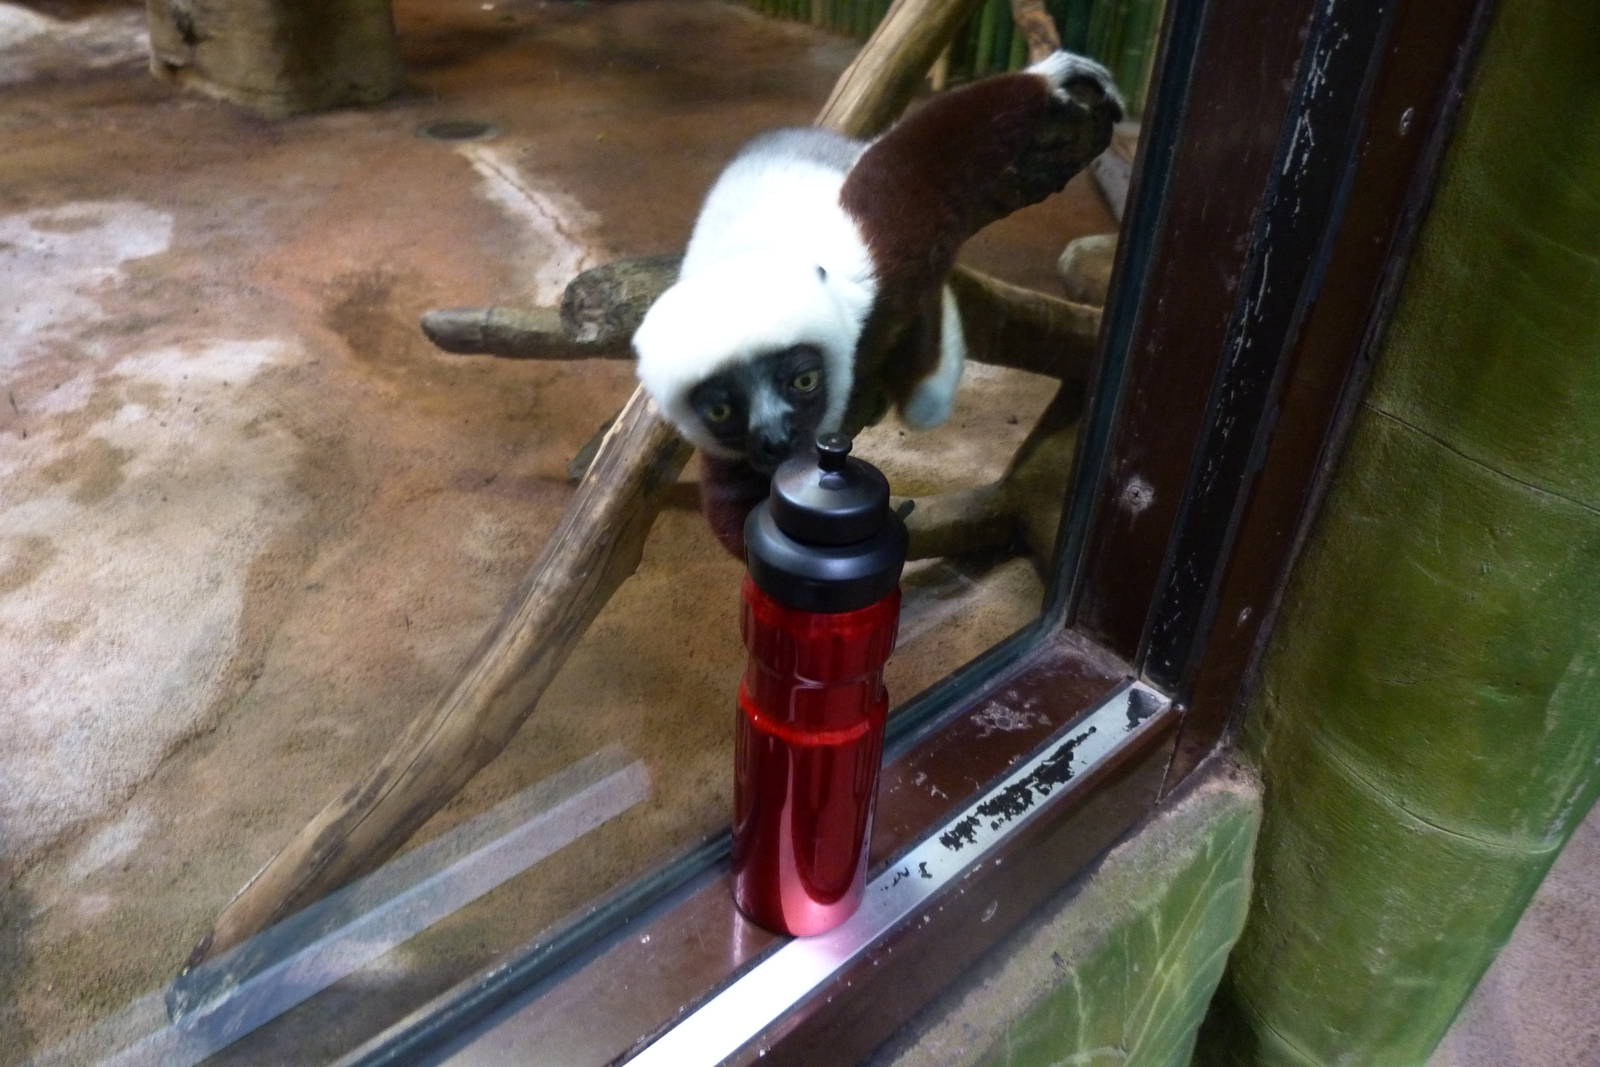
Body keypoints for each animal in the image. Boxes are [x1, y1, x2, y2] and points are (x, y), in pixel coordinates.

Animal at [632, 52, 1122, 554]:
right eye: (721, 411)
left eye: (804, 381)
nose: (777, 440)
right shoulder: (730, 453)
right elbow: (734, 505)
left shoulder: (876, 255)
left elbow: (926, 160)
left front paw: (1046, 77)